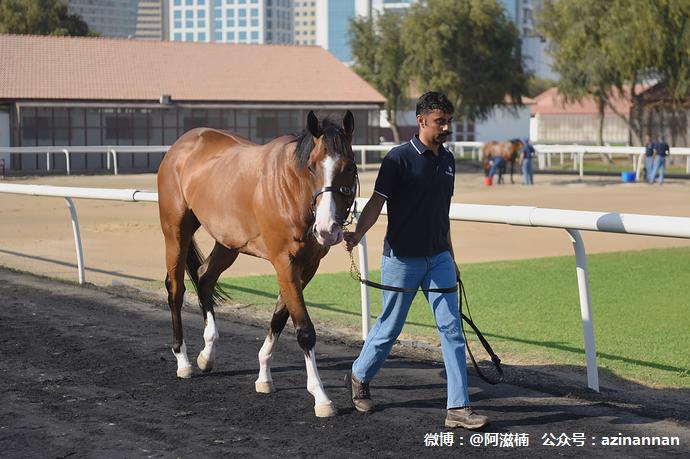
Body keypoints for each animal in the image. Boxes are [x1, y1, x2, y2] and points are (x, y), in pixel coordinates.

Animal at [158, 110, 358, 416]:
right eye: (312, 167)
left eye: (348, 166)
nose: (327, 229)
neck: (291, 191)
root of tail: (182, 144)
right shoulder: (284, 262)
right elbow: (304, 330)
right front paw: (321, 397)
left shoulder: (307, 266)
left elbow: (280, 317)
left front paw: (264, 376)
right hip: (176, 231)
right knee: (176, 289)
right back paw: (183, 360)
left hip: (228, 242)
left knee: (205, 277)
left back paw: (207, 353)